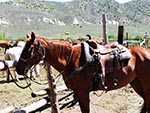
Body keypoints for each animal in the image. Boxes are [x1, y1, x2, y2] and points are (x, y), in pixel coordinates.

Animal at [15, 32, 149, 112]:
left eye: (29, 49)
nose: (18, 69)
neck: (70, 60)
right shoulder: (77, 93)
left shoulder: (83, 92)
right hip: (136, 82)